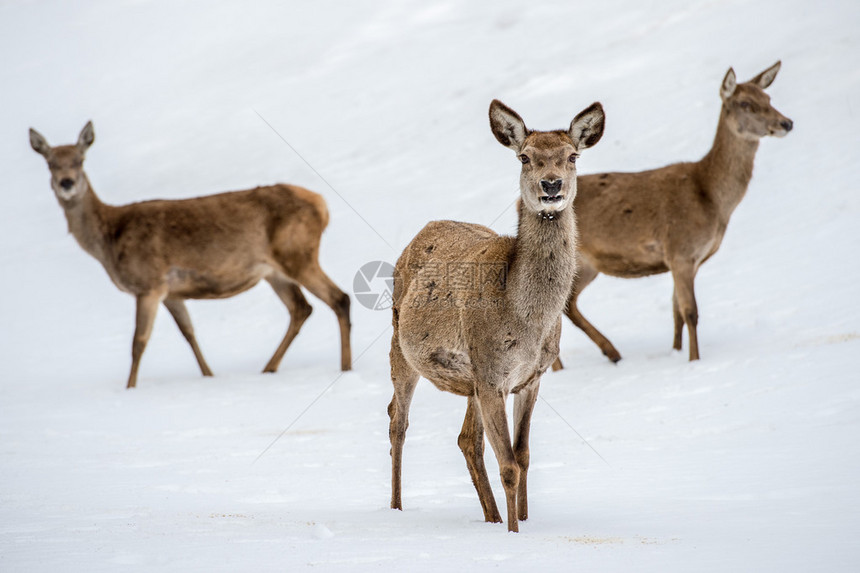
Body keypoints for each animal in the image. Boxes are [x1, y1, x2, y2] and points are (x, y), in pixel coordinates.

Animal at [29, 120, 352, 388]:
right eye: (50, 164)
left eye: (80, 160)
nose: (67, 183)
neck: (109, 239)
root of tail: (322, 204)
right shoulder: (172, 292)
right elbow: (189, 333)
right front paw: (208, 376)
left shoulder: (149, 284)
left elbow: (138, 342)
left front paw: (129, 388)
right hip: (274, 272)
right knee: (301, 308)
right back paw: (268, 369)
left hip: (298, 254)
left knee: (339, 298)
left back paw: (345, 368)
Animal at [388, 99, 604, 532]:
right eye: (525, 157)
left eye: (573, 156)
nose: (551, 185)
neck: (529, 321)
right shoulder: (492, 375)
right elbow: (508, 466)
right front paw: (513, 531)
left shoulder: (530, 378)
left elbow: (523, 456)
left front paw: (522, 519)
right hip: (401, 347)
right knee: (397, 422)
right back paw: (397, 508)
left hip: (471, 380)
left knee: (466, 439)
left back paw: (489, 516)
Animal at [556, 60, 792, 364]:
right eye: (746, 103)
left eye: (768, 98)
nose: (786, 123)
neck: (711, 199)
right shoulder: (681, 249)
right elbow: (691, 312)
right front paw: (694, 360)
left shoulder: (688, 259)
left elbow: (676, 311)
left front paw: (676, 352)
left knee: (567, 305)